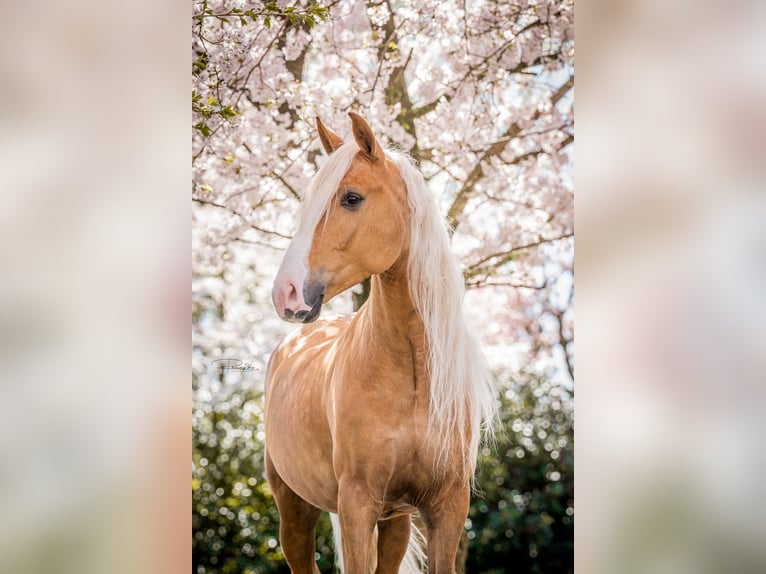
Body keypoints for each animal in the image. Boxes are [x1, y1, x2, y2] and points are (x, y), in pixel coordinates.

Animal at [268, 113, 500, 574]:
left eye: (351, 198)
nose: (286, 293)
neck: (410, 370)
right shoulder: (358, 504)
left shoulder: (448, 506)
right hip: (294, 511)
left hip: (396, 521)